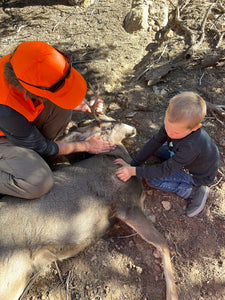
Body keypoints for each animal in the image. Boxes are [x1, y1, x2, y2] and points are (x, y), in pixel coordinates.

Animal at [0, 115, 178, 300]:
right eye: (110, 125)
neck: (116, 158)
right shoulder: (126, 204)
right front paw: (172, 295)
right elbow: (162, 242)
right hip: (11, 267)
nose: (132, 129)